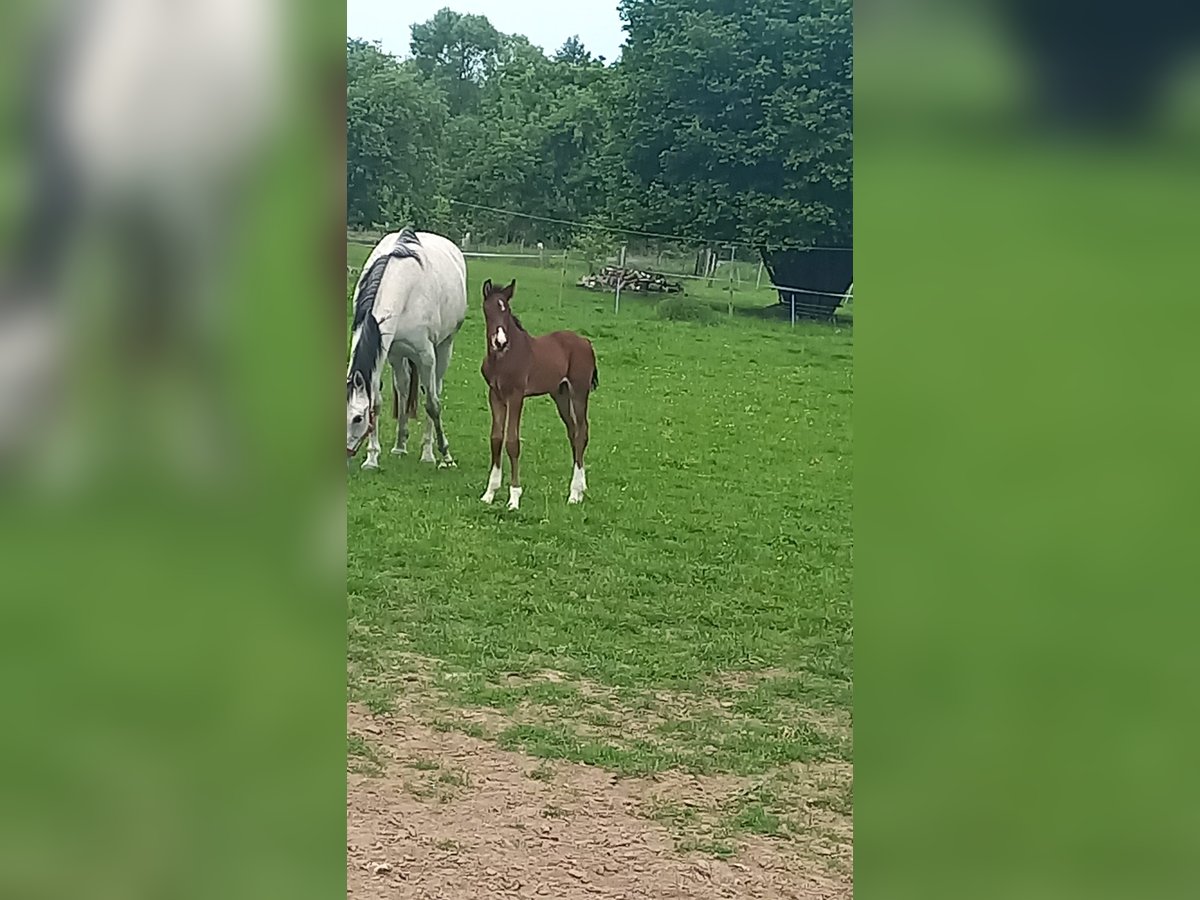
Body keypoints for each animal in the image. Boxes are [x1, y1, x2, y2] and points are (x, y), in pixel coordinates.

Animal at [345, 232, 465, 468]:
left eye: (357, 418)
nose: (344, 453)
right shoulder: (386, 351)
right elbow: (377, 402)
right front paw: (372, 458)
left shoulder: (426, 356)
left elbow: (433, 405)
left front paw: (443, 455)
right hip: (398, 355)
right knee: (403, 388)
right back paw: (400, 446)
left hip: (444, 347)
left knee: (435, 391)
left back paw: (429, 453)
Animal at [472, 278, 595, 511]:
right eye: (488, 310)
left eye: (507, 310)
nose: (500, 342)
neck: (504, 357)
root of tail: (585, 342)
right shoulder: (495, 395)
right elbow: (496, 438)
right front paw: (489, 493)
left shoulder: (516, 396)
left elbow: (512, 442)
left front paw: (514, 498)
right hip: (560, 394)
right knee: (573, 432)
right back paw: (581, 488)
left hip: (578, 392)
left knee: (582, 433)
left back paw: (574, 494)